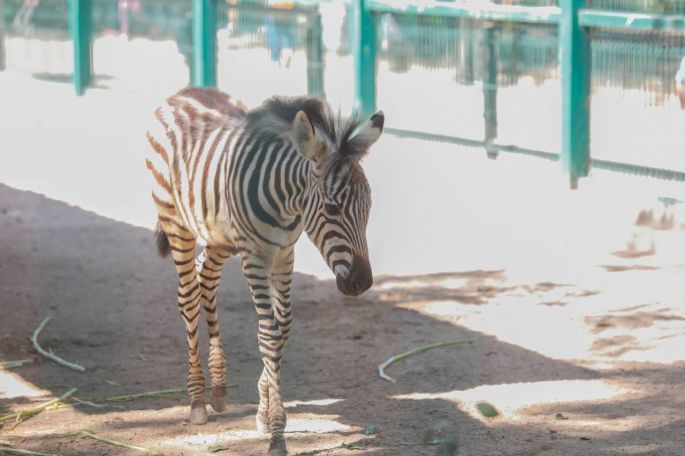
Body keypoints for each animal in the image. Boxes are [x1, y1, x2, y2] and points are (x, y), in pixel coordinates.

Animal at [145, 87, 383, 455]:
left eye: (368, 207)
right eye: (331, 208)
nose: (362, 282)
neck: (287, 204)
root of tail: (184, 92)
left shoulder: (284, 254)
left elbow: (282, 327)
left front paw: (262, 411)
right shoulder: (255, 256)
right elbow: (269, 332)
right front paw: (276, 433)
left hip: (219, 236)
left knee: (205, 280)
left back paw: (219, 389)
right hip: (176, 222)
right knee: (187, 296)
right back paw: (198, 400)